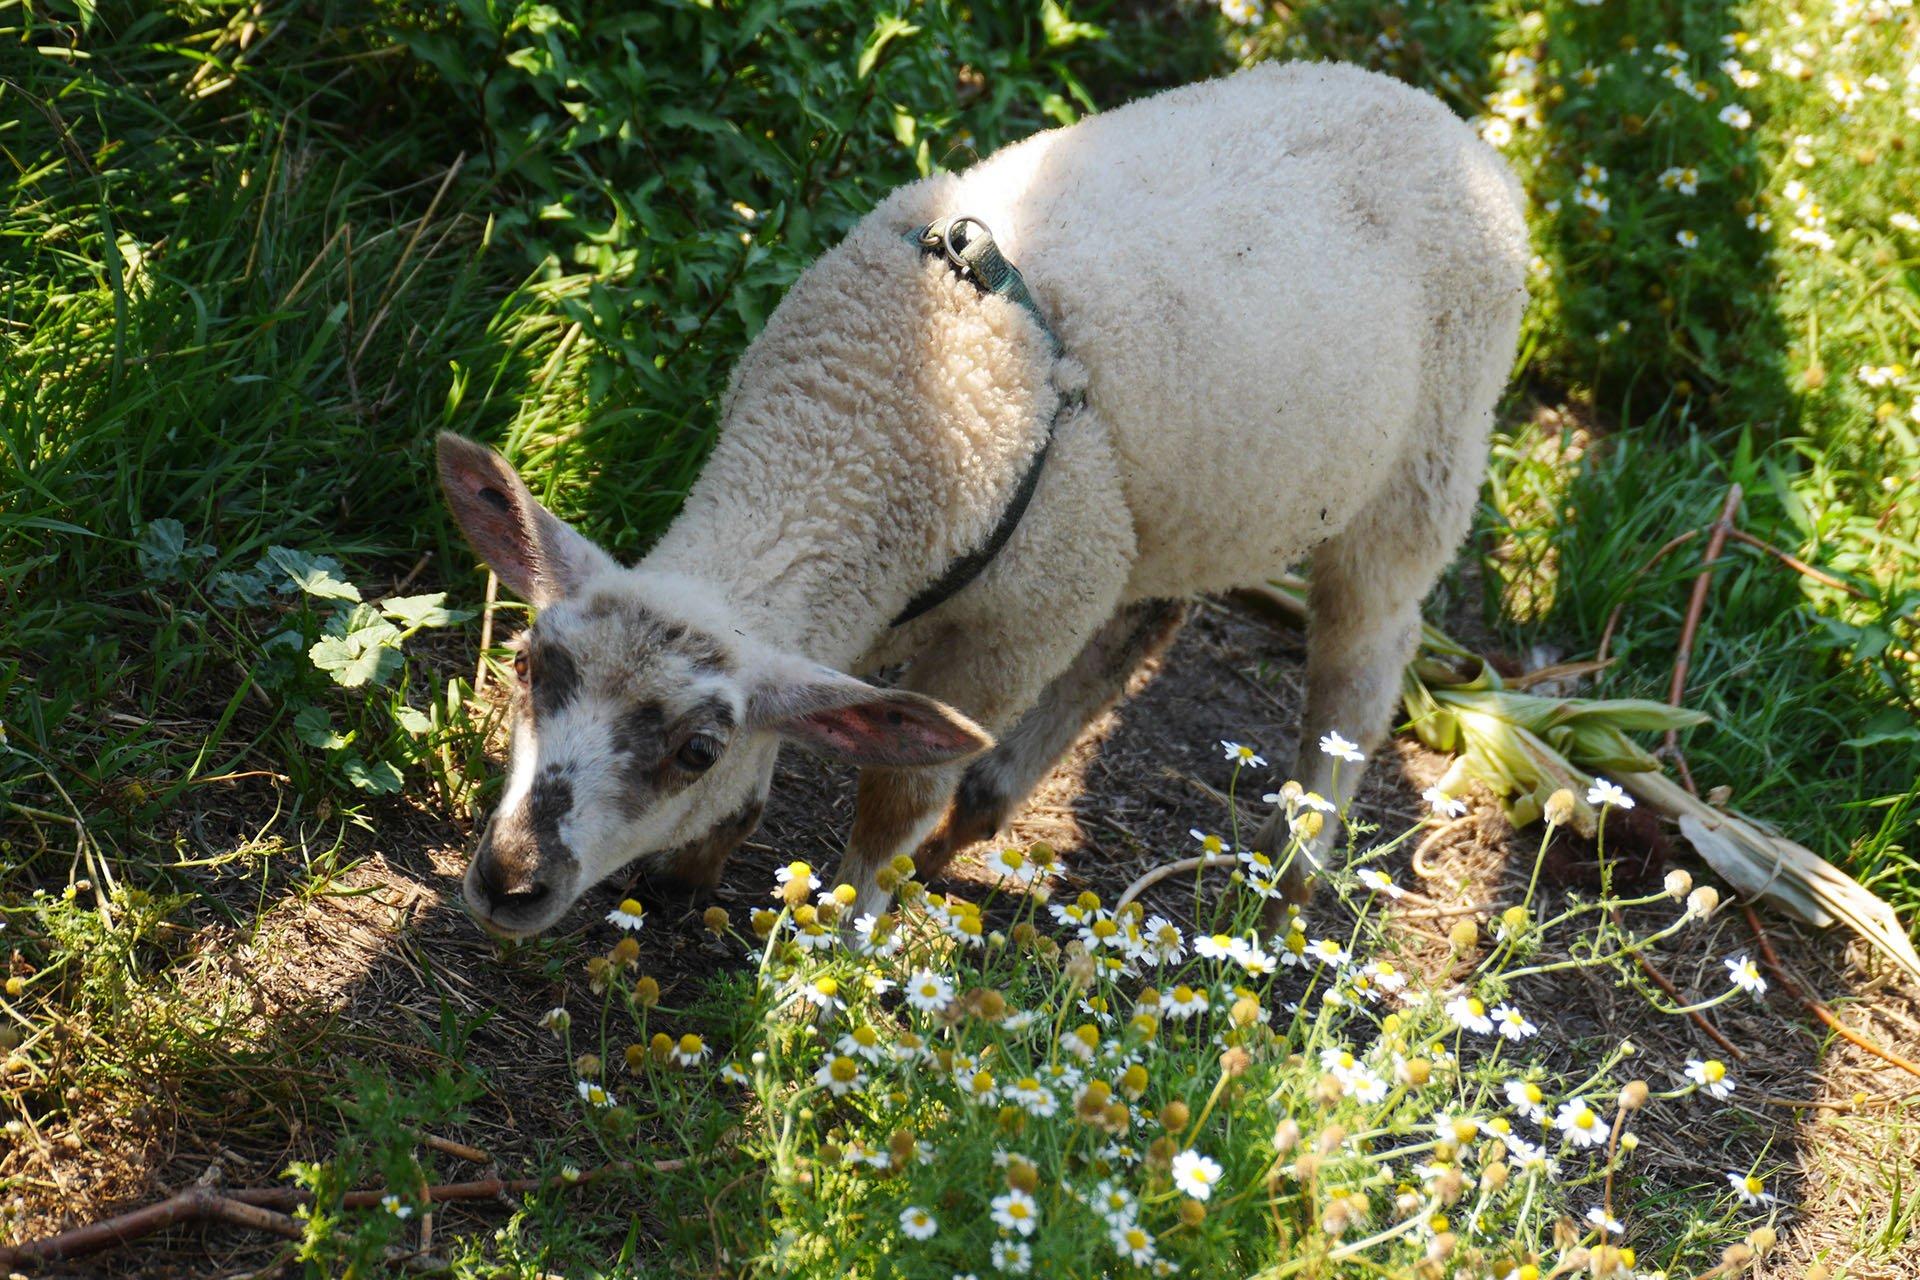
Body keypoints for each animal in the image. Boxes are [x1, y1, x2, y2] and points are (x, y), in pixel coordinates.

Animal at [439, 59, 1528, 936]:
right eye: (528, 664)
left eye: (696, 748)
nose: (508, 881)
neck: (859, 416)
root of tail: (1445, 119)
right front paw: (697, 866)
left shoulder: (1014, 625)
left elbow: (895, 790)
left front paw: (839, 940)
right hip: (1174, 505)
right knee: (1149, 615)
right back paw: (985, 813)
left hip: (1428, 459)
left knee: (1365, 658)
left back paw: (1292, 876)